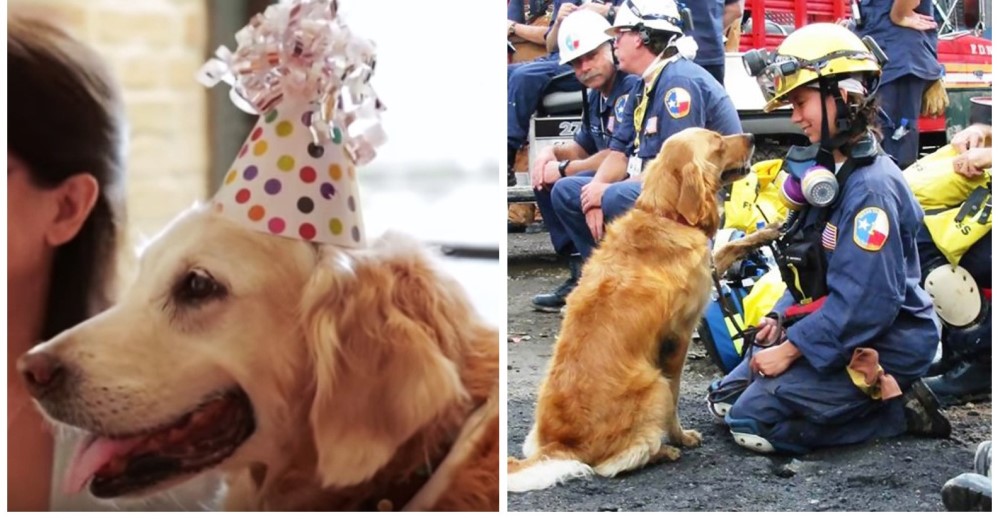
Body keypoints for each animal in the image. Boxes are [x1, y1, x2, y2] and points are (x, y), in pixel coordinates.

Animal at [508, 127, 752, 492]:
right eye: (719, 143)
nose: (751, 137)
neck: (665, 215)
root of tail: (561, 446)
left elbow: (731, 246)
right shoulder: (678, 338)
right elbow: (676, 397)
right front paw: (680, 437)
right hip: (653, 385)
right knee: (614, 463)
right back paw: (663, 451)